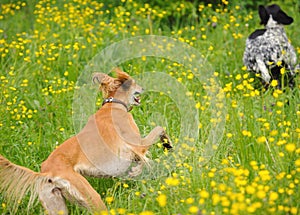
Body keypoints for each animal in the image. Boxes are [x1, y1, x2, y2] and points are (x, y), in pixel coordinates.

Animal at [0, 68, 172, 213]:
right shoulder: (137, 146)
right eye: (135, 83)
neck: (114, 105)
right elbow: (159, 130)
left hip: (56, 203)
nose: (143, 88)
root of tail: (47, 172)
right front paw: (167, 145)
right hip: (91, 195)